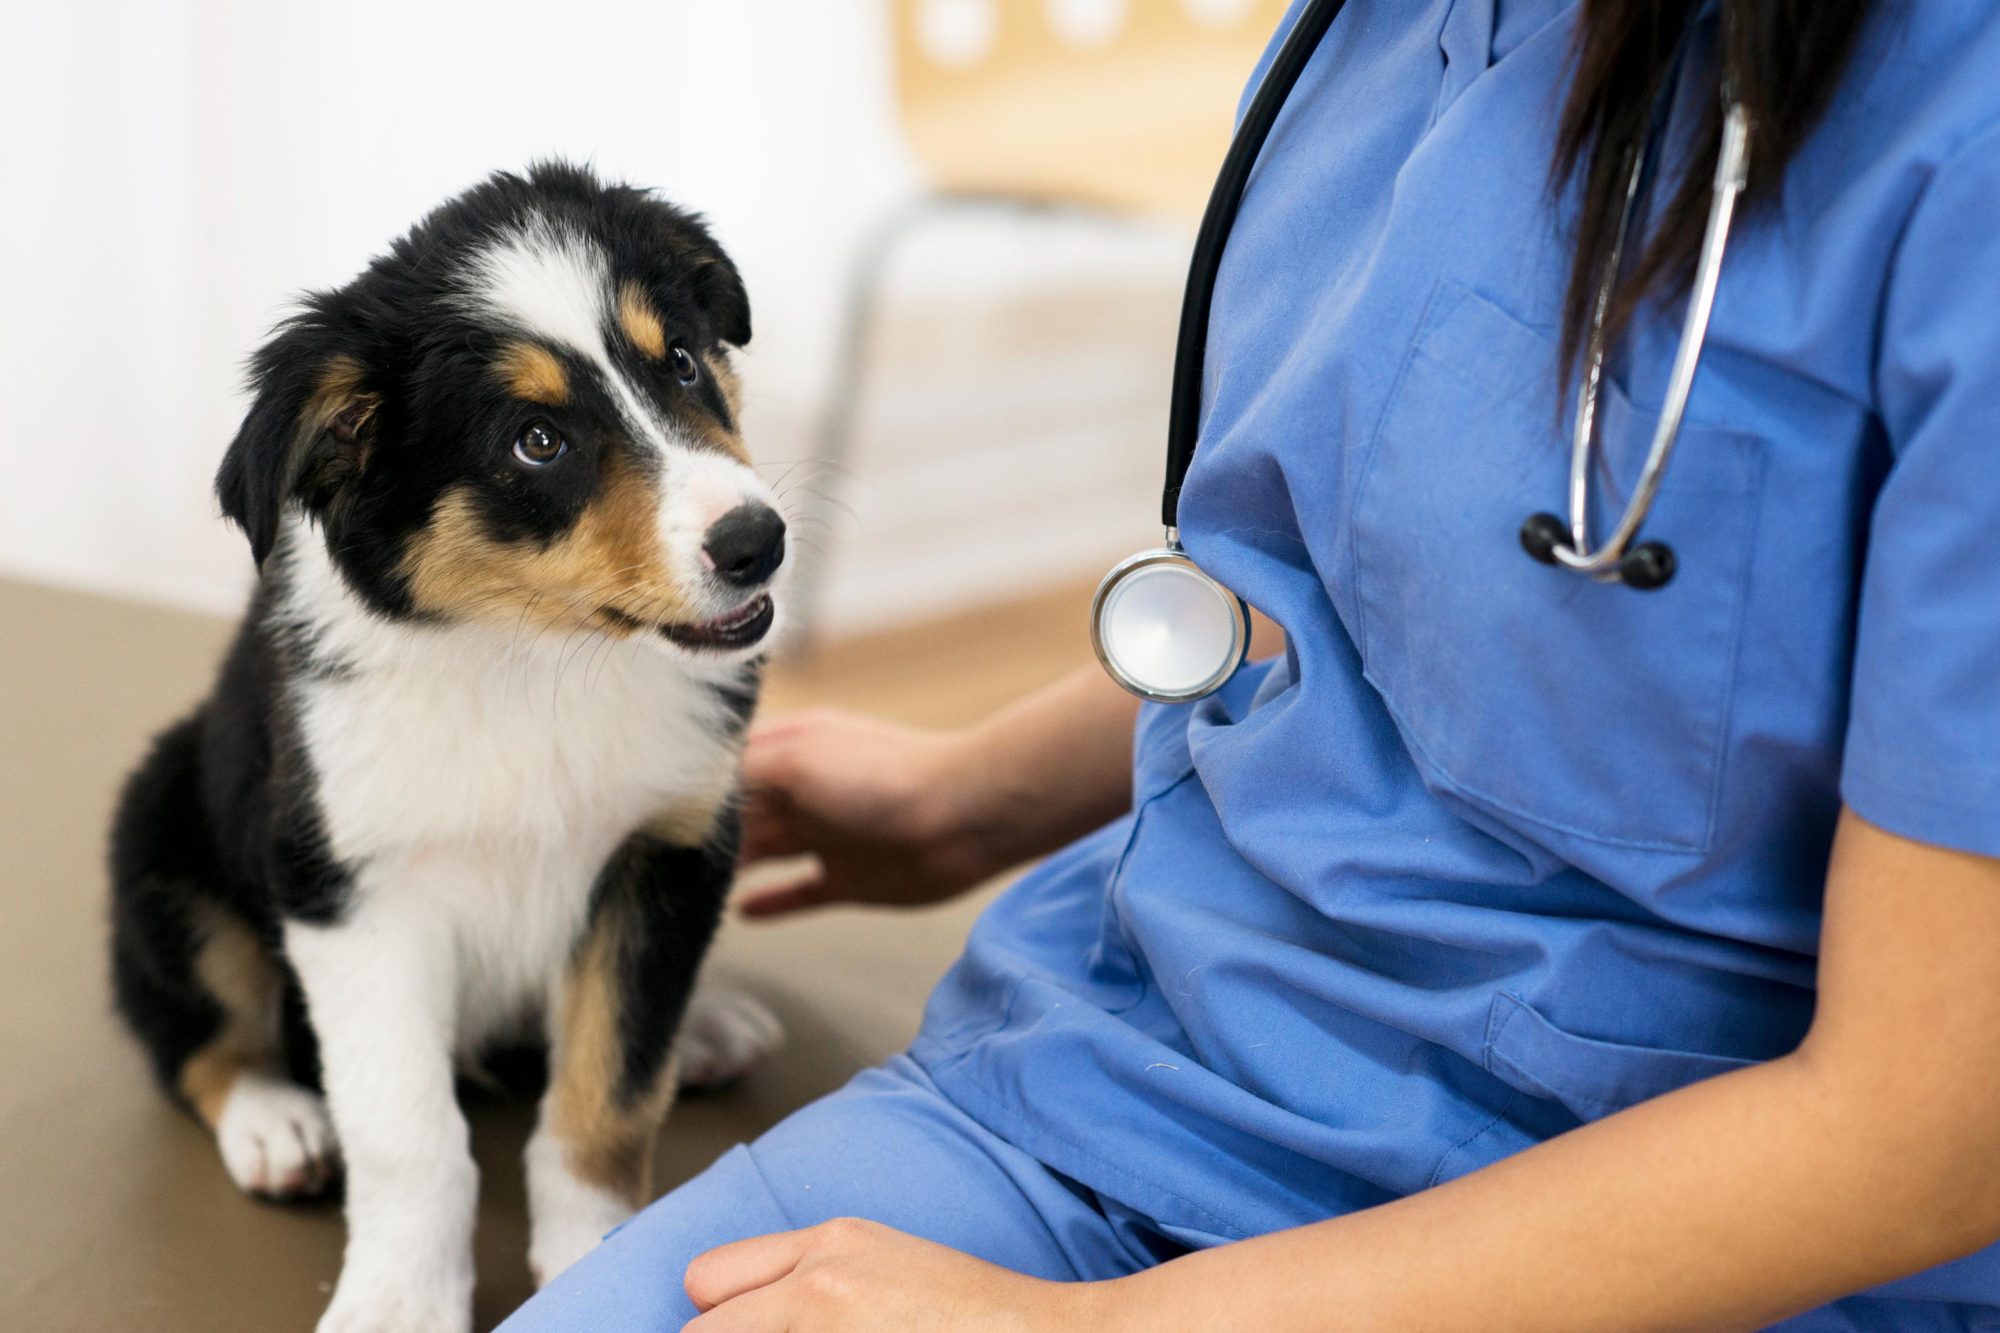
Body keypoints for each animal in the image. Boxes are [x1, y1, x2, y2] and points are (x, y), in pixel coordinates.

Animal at [107, 161, 780, 1320]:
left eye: (683, 362)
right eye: (537, 441)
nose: (758, 542)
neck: (532, 661)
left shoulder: (668, 848)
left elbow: (607, 1091)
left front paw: (596, 1257)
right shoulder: (350, 886)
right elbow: (406, 1133)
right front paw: (397, 1302)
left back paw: (704, 1025)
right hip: (161, 821)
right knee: (190, 1032)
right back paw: (274, 1119)